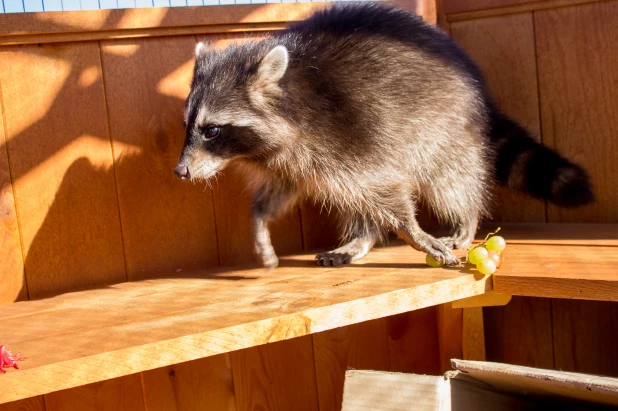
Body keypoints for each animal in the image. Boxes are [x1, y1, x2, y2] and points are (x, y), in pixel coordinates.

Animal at [173, 3, 592, 270]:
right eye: (187, 126)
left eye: (212, 130)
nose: (180, 171)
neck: (289, 97)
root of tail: (476, 84)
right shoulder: (287, 157)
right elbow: (283, 190)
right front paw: (260, 224)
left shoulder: (349, 133)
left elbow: (385, 187)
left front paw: (414, 232)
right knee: (349, 198)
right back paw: (361, 237)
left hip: (444, 125)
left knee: (449, 177)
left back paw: (464, 218)